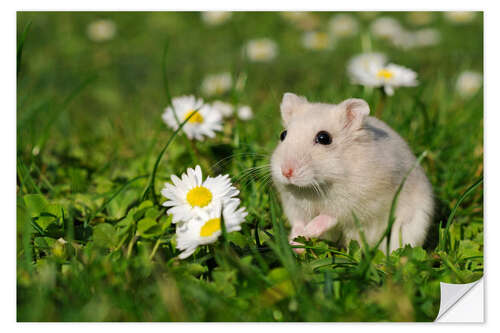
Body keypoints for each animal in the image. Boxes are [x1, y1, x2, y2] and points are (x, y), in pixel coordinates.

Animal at [270, 92, 434, 253]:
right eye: (283, 135)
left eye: (324, 138)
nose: (286, 172)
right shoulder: (293, 205)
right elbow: (298, 222)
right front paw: (295, 243)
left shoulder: (356, 204)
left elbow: (328, 217)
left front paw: (307, 232)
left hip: (410, 227)